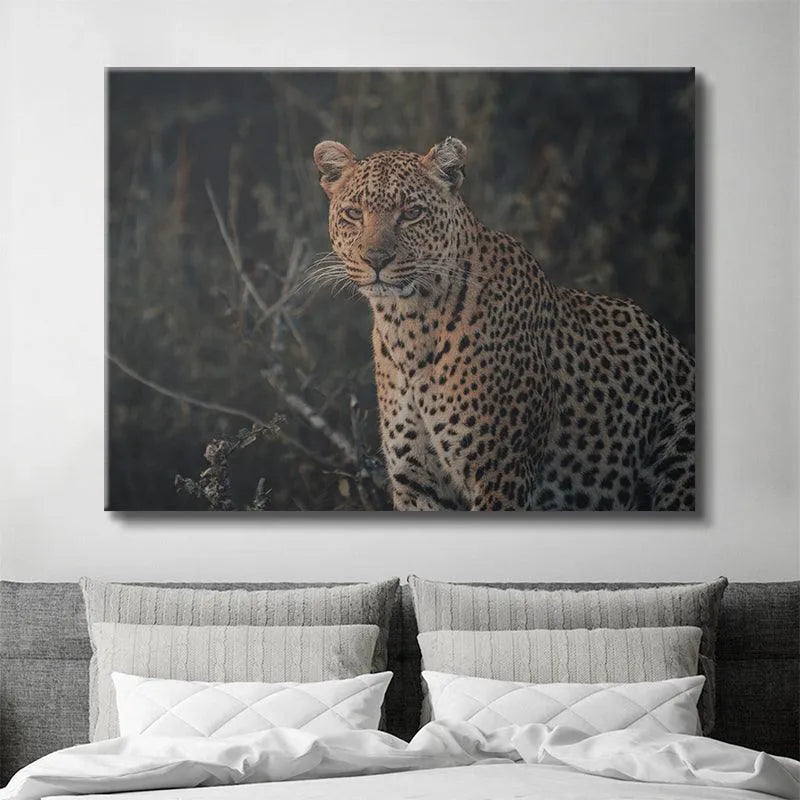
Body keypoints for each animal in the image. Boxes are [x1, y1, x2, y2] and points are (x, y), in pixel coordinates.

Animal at [313, 136, 695, 511]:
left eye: (412, 214)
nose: (376, 259)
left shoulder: (501, 476)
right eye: (353, 213)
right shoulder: (417, 484)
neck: (408, 323)